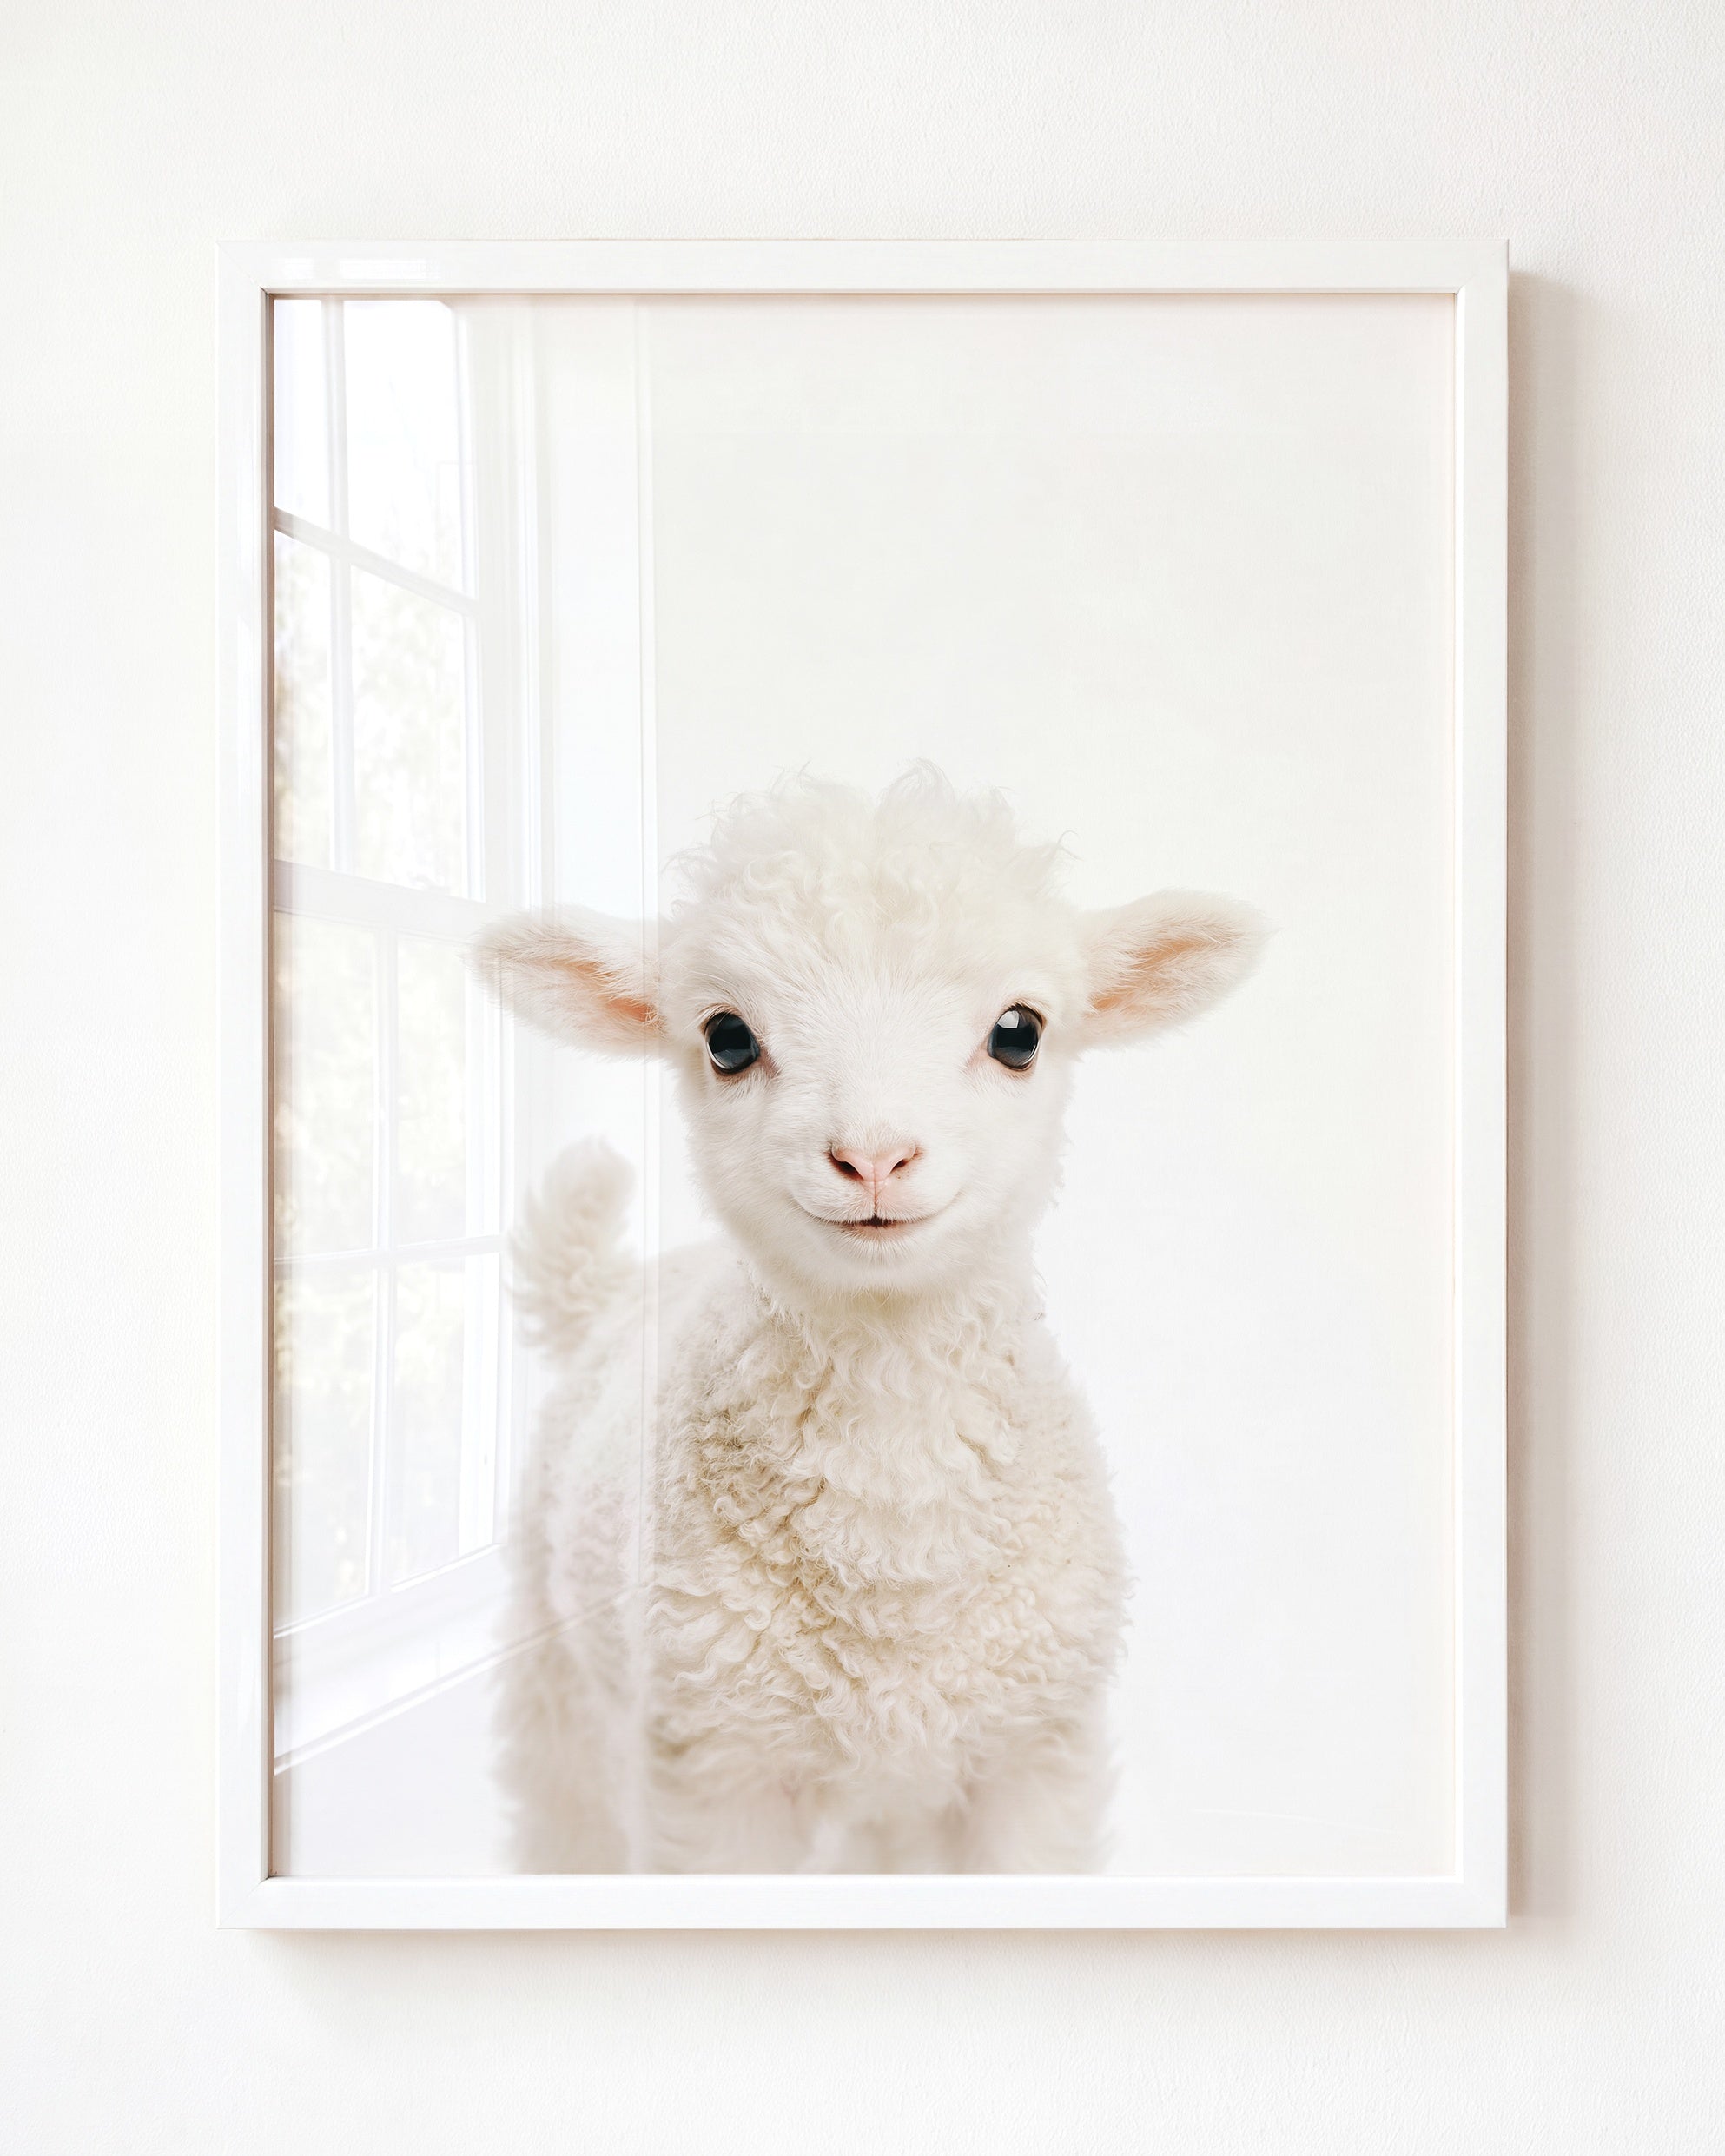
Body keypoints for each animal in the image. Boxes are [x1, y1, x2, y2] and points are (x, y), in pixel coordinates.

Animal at [472, 766, 1262, 1874]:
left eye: (1019, 1031)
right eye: (727, 1037)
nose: (874, 1156)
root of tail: (619, 1286)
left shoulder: (1033, 1757)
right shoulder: (716, 1771)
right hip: (563, 1696)